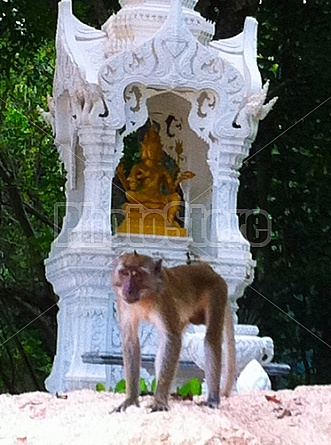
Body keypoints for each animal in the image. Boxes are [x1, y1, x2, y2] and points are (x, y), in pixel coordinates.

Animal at [111, 251, 236, 412]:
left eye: (138, 274)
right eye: (125, 273)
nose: (128, 289)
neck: (145, 297)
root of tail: (208, 269)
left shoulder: (164, 300)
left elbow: (173, 339)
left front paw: (159, 402)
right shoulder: (123, 303)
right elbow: (130, 341)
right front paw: (131, 400)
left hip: (217, 292)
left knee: (211, 339)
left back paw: (213, 398)